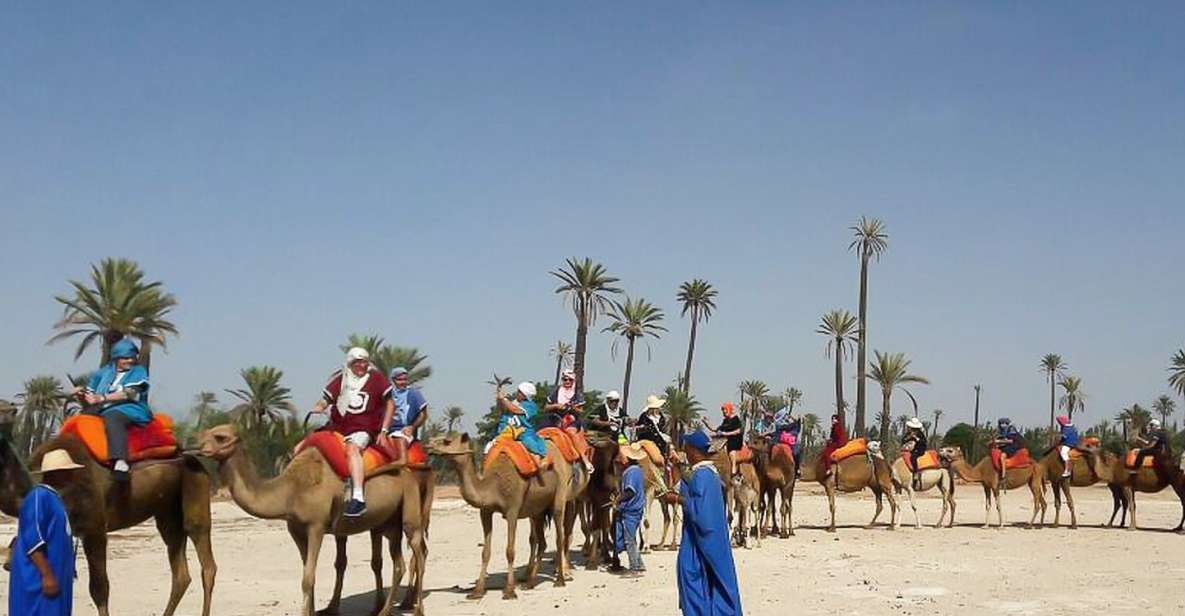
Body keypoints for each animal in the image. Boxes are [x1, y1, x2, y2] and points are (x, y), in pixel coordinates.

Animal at [0, 405, 216, 616]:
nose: (11, 409)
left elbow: (99, 588)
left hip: (195, 485)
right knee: (180, 572)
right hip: (167, 511)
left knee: (205, 559)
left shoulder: (94, 528)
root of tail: (191, 456)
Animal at [199, 424, 426, 616]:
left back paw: (416, 610)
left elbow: (307, 579)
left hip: (409, 510)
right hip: (388, 523)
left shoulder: (316, 526)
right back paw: (384, 611)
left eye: (220, 437)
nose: (199, 449)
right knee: (399, 564)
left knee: (419, 551)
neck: (290, 491)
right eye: (205, 433)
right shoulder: (296, 530)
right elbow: (309, 576)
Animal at [426, 431, 573, 599]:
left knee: (559, 536)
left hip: (559, 496)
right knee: (542, 542)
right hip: (537, 511)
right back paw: (529, 583)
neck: (492, 486)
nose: (429, 446)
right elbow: (485, 552)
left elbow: (510, 550)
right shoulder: (485, 511)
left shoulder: (512, 511)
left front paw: (509, 591)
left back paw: (560, 580)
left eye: (447, 441)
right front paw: (477, 591)